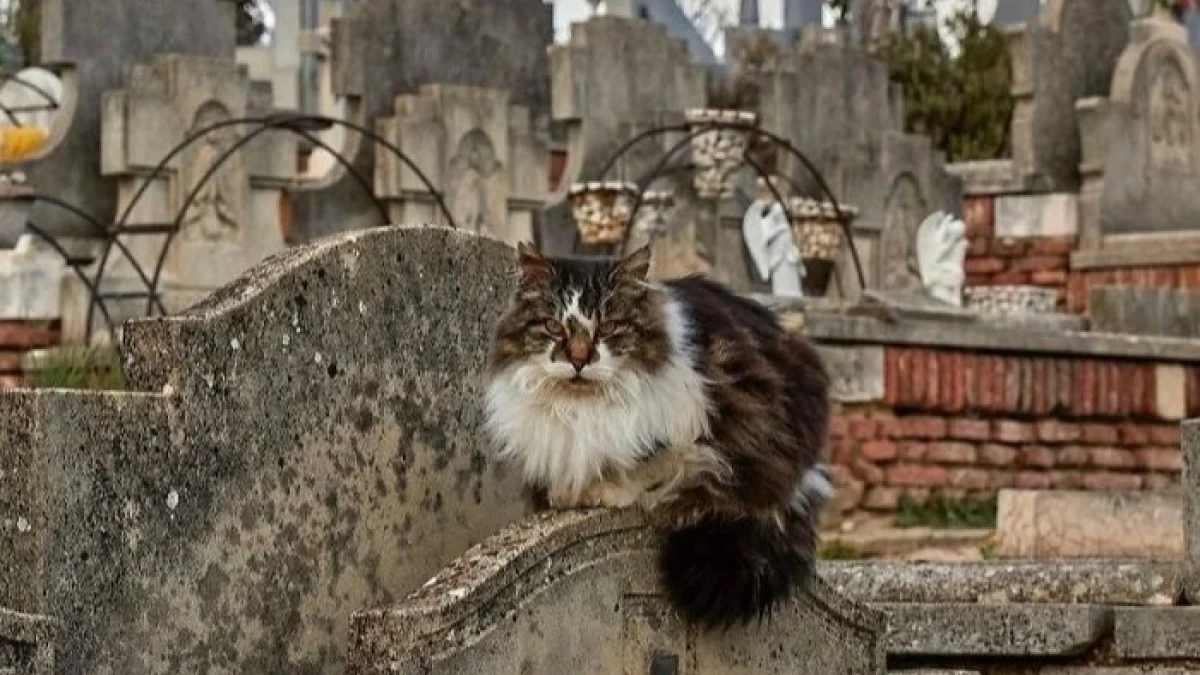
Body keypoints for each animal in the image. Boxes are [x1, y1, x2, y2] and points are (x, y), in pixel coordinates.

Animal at [482, 240, 830, 624]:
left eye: (609, 327)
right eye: (553, 327)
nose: (579, 360)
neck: (580, 410)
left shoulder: (693, 422)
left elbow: (656, 466)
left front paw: (603, 490)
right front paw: (565, 492)